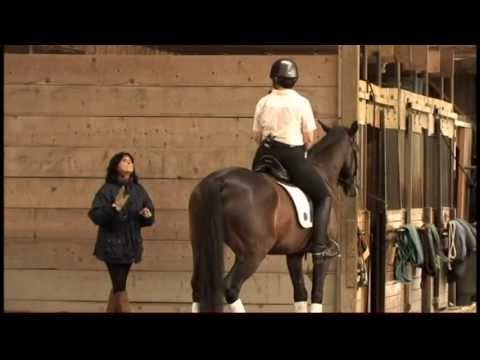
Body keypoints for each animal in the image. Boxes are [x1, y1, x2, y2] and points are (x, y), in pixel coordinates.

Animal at [189, 121, 358, 312]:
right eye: (357, 149)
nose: (353, 189)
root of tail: (219, 180)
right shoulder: (323, 258)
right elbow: (317, 294)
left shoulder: (294, 254)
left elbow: (300, 294)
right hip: (252, 253)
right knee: (231, 287)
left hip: (200, 245)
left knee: (197, 285)